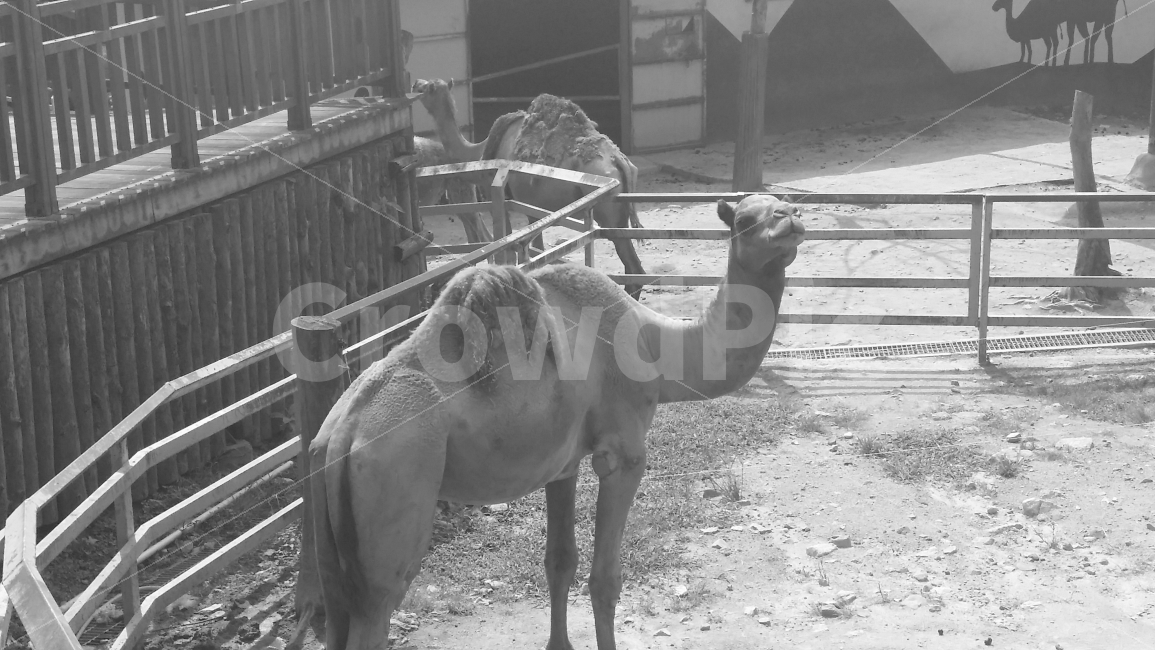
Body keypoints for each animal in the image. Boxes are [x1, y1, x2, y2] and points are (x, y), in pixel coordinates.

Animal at [302, 194, 805, 650]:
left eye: (785, 204)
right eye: (743, 220)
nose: (792, 218)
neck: (655, 346)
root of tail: (340, 437)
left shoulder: (563, 463)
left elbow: (560, 561)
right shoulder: (623, 454)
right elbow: (605, 579)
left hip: (332, 545)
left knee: (337, 614)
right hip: (394, 501)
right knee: (377, 609)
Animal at [413, 78, 648, 300]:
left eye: (428, 88)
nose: (415, 84)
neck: (479, 152)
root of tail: (621, 162)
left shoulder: (500, 199)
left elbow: (509, 253)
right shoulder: (532, 209)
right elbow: (538, 253)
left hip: (608, 214)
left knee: (633, 268)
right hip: (620, 214)